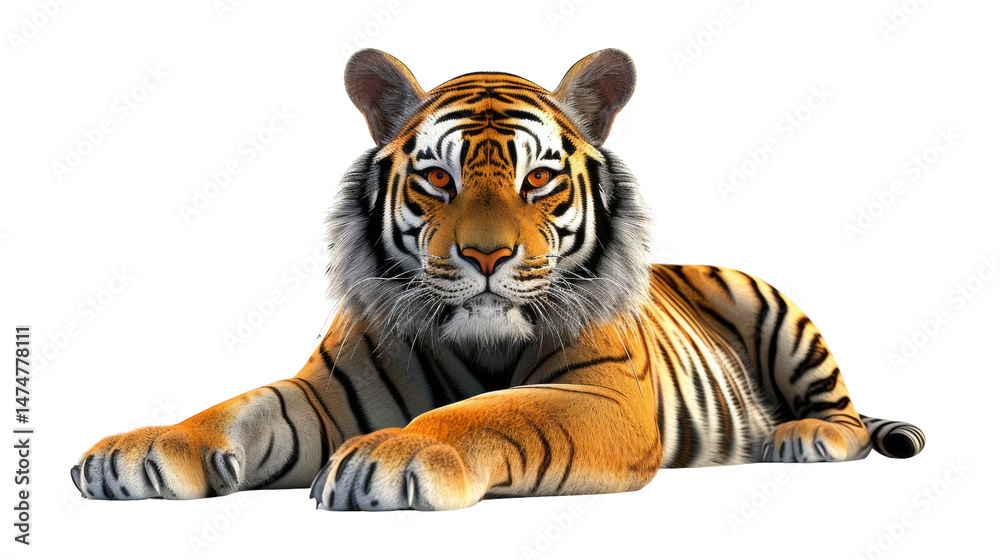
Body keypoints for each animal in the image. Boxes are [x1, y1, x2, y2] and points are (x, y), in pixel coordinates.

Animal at [71, 48, 925, 511]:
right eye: (438, 180)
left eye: (538, 179)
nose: (486, 256)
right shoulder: (325, 392)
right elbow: (237, 410)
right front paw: (137, 451)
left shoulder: (602, 398)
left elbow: (493, 413)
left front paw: (397, 455)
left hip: (771, 308)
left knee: (845, 415)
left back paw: (800, 436)